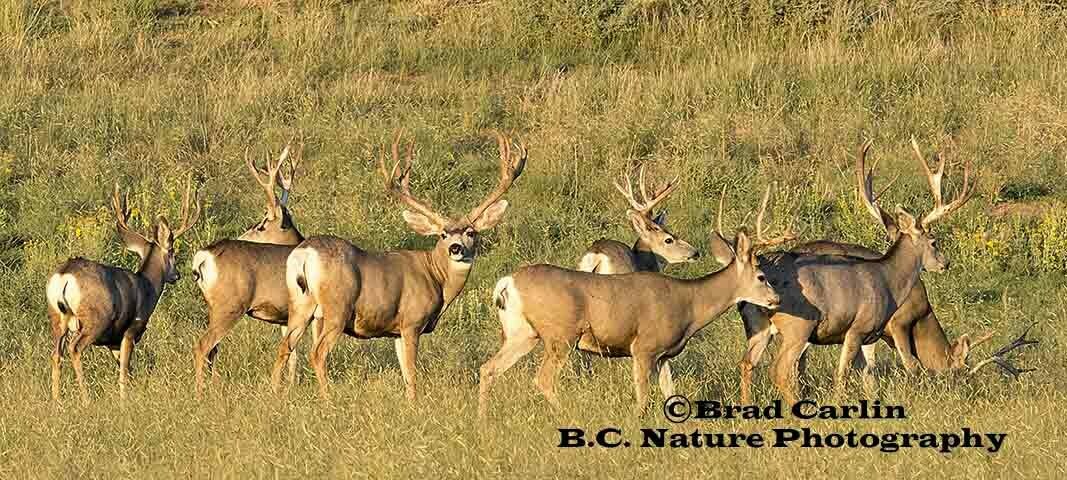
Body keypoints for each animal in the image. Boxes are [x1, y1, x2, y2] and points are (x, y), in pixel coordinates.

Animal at [46, 180, 200, 403]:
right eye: (172, 252)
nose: (176, 275)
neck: (147, 286)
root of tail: (65, 275)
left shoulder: (113, 341)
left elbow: (124, 369)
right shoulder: (131, 329)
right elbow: (124, 372)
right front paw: (124, 400)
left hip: (56, 318)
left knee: (56, 353)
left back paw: (56, 400)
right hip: (95, 319)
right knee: (74, 348)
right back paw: (85, 398)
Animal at [191, 144, 317, 395]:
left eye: (261, 226)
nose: (241, 235)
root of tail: (204, 256)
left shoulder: (285, 318)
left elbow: (292, 355)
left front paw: (290, 387)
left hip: (214, 307)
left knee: (212, 350)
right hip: (230, 306)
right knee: (203, 346)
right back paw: (199, 393)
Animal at [271, 132, 527, 400]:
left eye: (471, 232)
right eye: (443, 234)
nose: (456, 248)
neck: (436, 278)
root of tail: (304, 254)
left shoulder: (395, 330)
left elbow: (404, 372)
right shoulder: (412, 321)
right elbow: (412, 373)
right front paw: (415, 403)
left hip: (300, 303)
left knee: (284, 346)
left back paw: (275, 392)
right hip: (337, 307)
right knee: (318, 353)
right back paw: (328, 399)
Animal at [477, 182, 794, 417]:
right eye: (762, 276)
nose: (777, 299)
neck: (690, 304)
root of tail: (509, 282)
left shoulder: (665, 354)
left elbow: (670, 394)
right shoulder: (643, 347)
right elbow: (642, 397)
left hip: (522, 333)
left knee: (487, 368)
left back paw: (483, 421)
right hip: (561, 334)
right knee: (542, 379)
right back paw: (570, 416)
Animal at [719, 138, 978, 405]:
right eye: (934, 242)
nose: (946, 263)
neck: (889, 280)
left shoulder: (870, 335)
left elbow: (867, 373)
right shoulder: (864, 327)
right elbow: (859, 371)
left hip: (757, 323)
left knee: (747, 363)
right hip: (797, 326)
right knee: (781, 369)